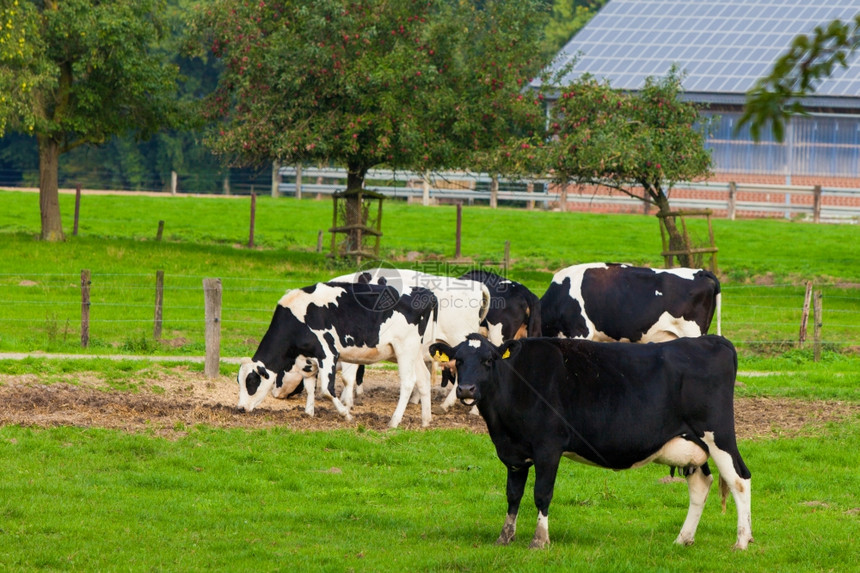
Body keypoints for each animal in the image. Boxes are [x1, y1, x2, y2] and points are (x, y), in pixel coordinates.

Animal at [235, 280, 436, 426]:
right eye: (240, 381)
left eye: (251, 381)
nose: (240, 408)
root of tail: (425, 293)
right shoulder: (308, 359)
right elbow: (310, 386)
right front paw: (308, 413)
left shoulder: (328, 353)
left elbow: (326, 389)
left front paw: (346, 414)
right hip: (414, 352)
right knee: (424, 379)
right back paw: (426, 421)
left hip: (405, 349)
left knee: (408, 382)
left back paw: (394, 421)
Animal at [430, 336, 752, 548]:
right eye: (458, 360)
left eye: (488, 360)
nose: (466, 389)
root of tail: (711, 339)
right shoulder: (515, 453)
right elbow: (513, 495)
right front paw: (504, 537)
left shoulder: (548, 448)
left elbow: (541, 494)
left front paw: (540, 540)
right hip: (693, 443)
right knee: (700, 485)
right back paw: (683, 539)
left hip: (718, 435)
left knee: (739, 479)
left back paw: (742, 541)